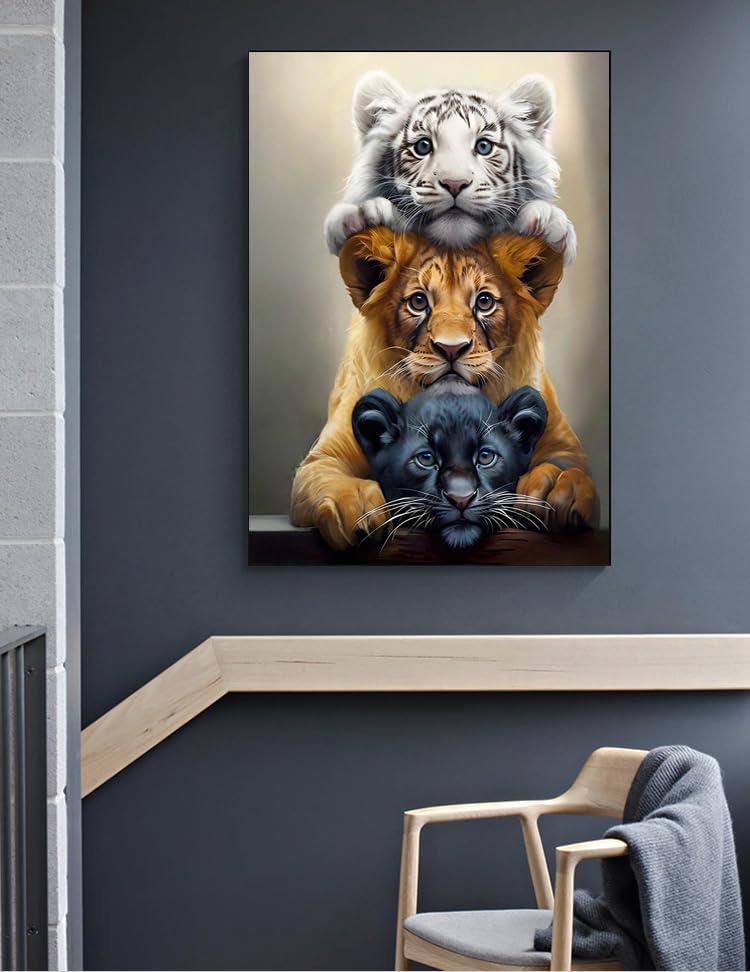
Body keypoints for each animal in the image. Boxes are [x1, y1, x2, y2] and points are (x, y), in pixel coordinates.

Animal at [290, 227, 597, 550]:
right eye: (418, 302)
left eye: (484, 302)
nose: (451, 348)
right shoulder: (324, 457)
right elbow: (328, 477)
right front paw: (357, 506)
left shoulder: (562, 444)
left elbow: (571, 467)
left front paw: (555, 488)